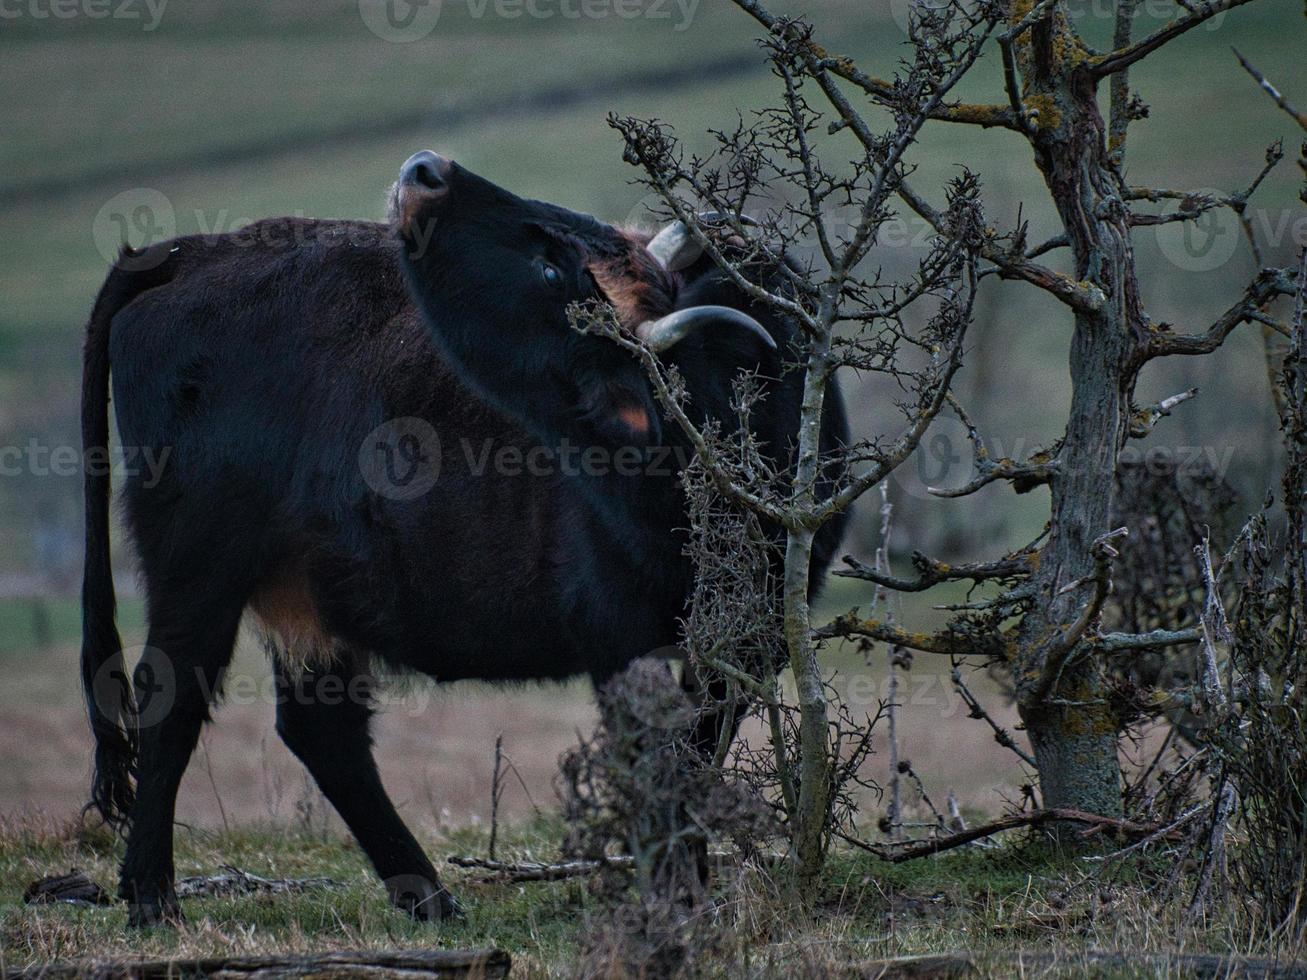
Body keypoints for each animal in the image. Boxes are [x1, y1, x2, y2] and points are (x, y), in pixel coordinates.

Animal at [81, 149, 852, 925]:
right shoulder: (616, 632)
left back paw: (426, 895)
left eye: (553, 268)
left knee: (321, 732)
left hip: (307, 596)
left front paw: (689, 885)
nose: (426, 168)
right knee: (171, 698)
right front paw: (672, 894)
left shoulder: (749, 635)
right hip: (196, 567)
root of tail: (188, 252)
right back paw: (151, 895)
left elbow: (697, 751)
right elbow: (654, 757)